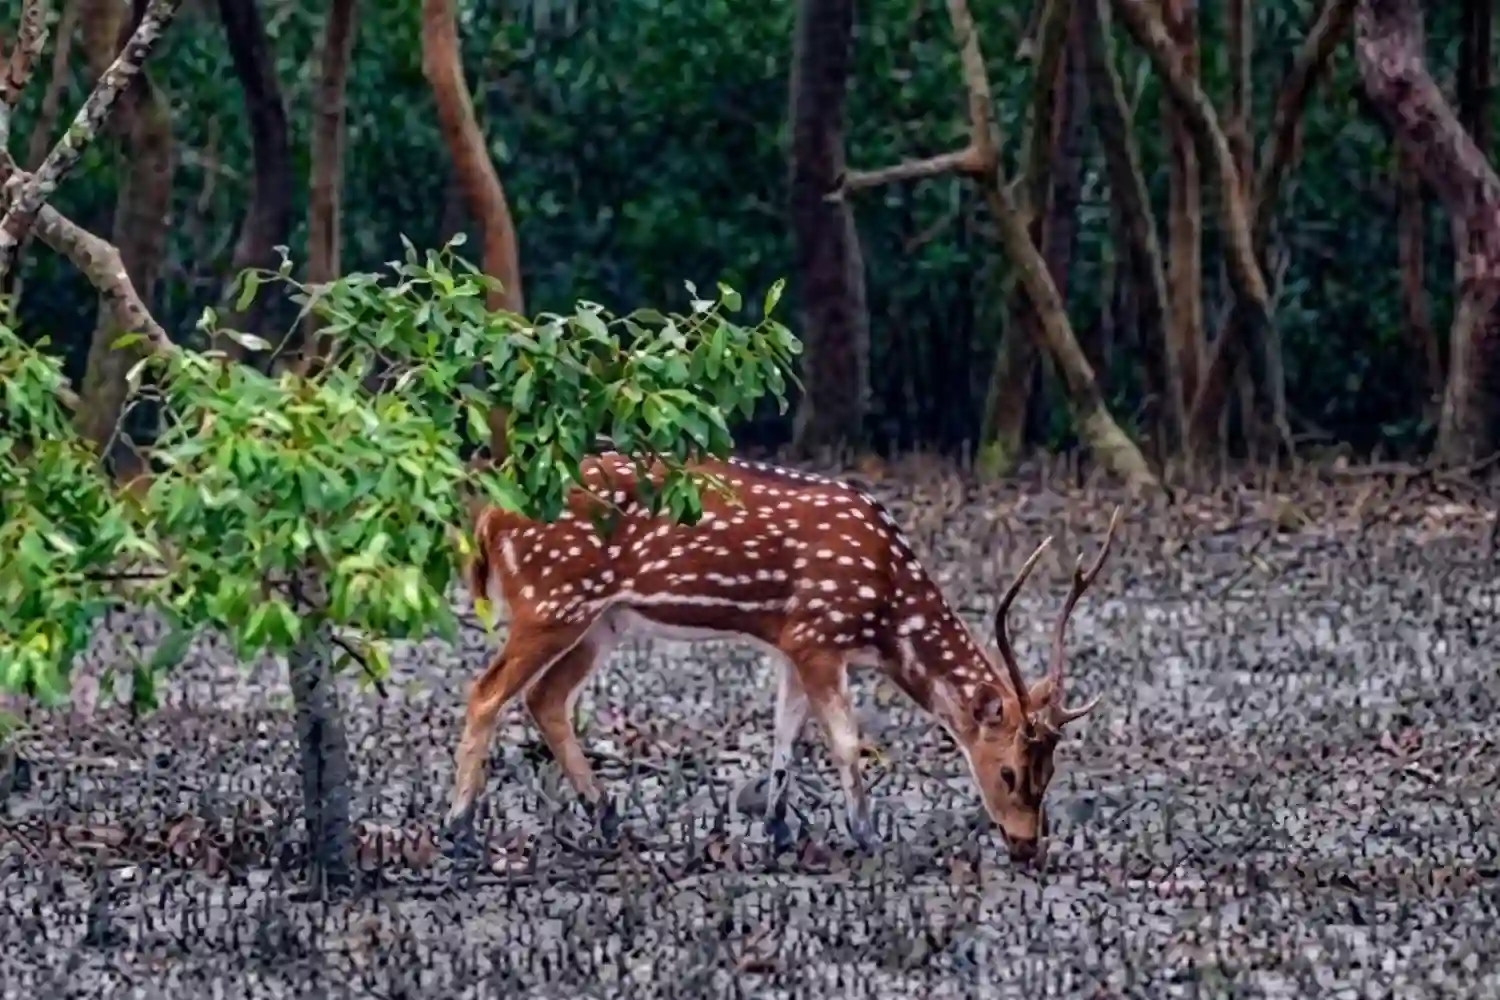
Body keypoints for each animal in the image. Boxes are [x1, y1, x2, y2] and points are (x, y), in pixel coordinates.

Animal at [443, 451, 1119, 867]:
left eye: (1051, 772)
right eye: (1007, 773)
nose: (1027, 847)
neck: (886, 611)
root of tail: (490, 518)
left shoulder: (793, 641)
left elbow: (784, 733)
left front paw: (777, 830)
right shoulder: (820, 631)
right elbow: (845, 740)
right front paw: (866, 836)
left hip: (599, 620)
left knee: (545, 698)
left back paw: (607, 818)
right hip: (552, 598)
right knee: (486, 691)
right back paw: (459, 831)